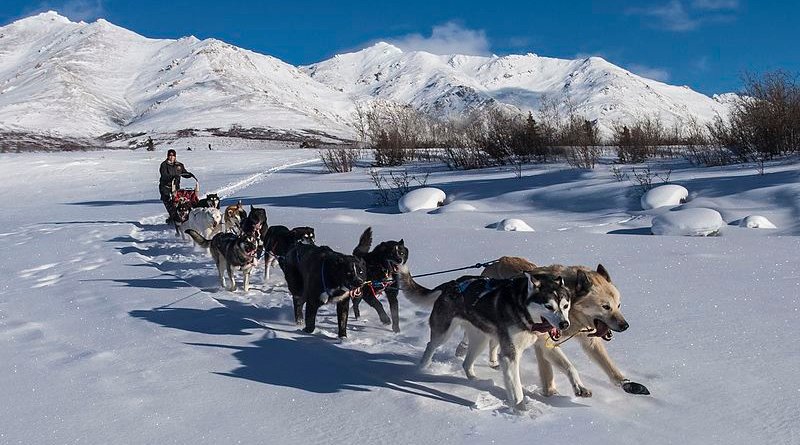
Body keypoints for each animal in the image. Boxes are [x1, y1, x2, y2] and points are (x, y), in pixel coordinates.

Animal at [454, 256, 648, 396]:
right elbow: (567, 367)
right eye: (605, 307)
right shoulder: (545, 343)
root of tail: (498, 261)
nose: (625, 326)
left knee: (493, 342)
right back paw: (462, 349)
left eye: (619, 305)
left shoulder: (589, 341)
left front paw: (627, 384)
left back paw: (493, 360)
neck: (571, 309)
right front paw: (560, 391)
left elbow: (610, 367)